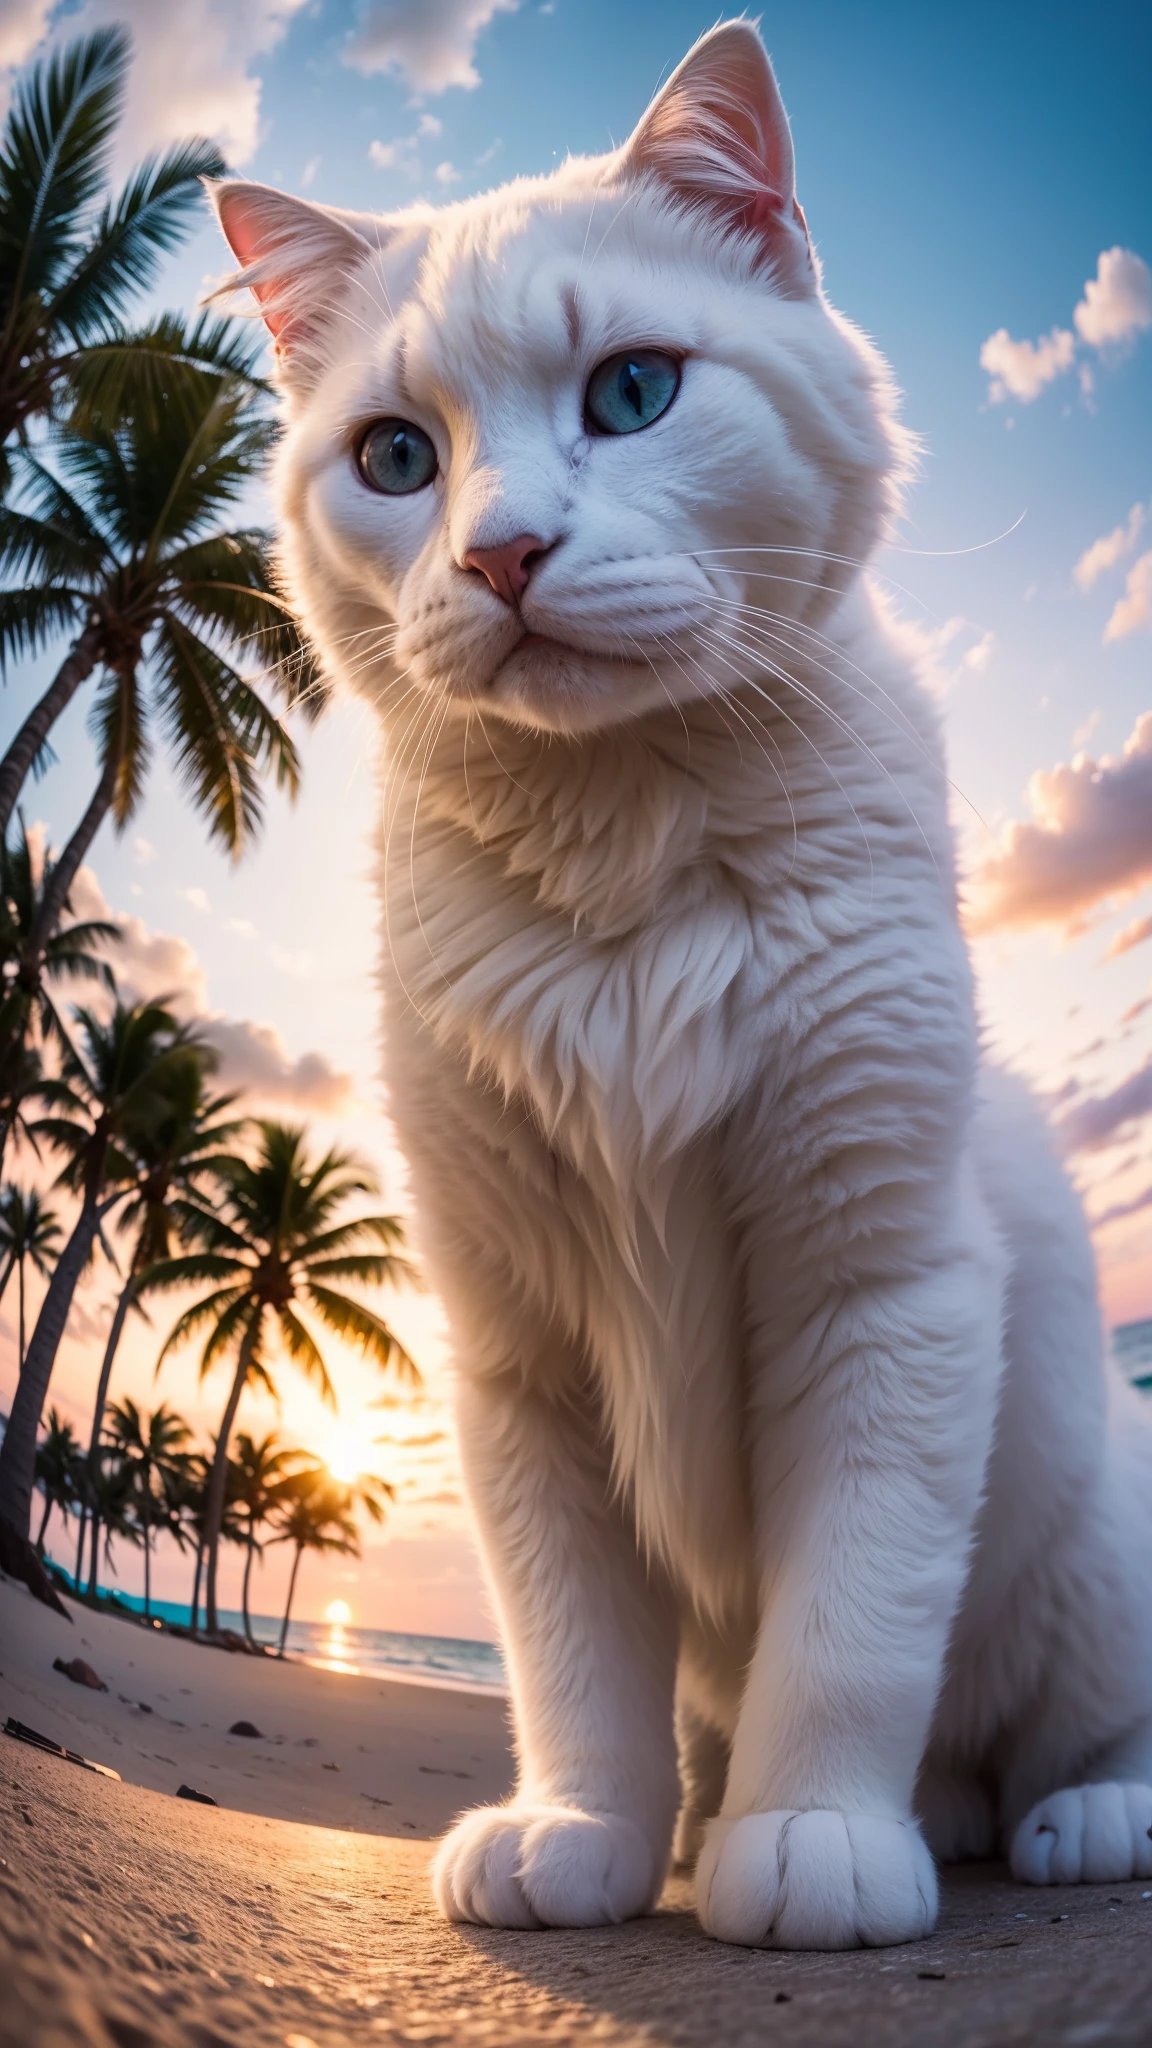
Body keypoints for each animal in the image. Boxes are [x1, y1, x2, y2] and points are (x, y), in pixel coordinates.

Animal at [211, 19, 1147, 1949]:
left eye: (635, 393)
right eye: (396, 458)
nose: (499, 556)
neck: (625, 864)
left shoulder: (883, 1286)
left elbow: (850, 1626)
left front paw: (811, 1836)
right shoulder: (519, 1353)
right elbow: (572, 1650)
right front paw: (584, 1828)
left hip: (1099, 1560)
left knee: (1088, 1729)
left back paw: (1069, 1817)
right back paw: (810, 1819)